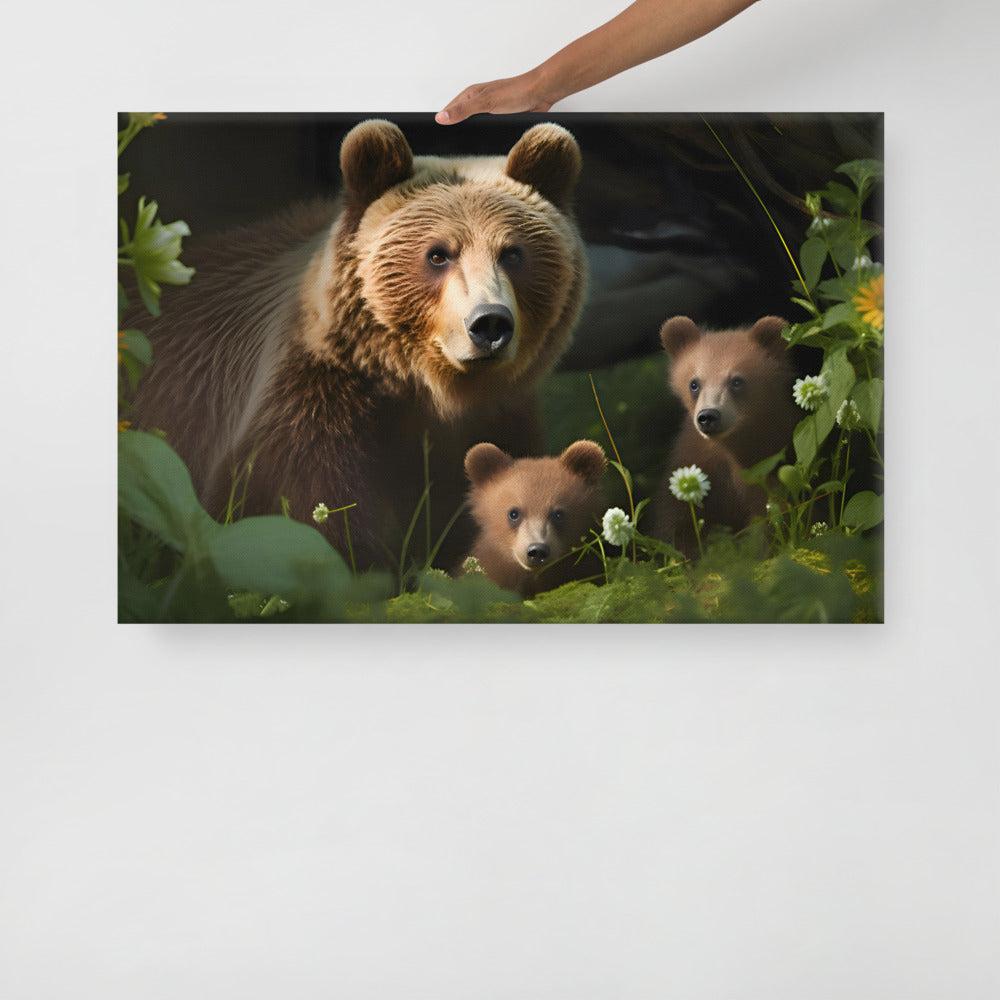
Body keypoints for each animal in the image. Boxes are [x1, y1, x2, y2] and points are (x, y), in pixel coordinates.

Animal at [131, 119, 586, 571]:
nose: (489, 322)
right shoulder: (312, 409)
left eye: (512, 253)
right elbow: (299, 511)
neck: (424, 391)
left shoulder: (498, 421)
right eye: (438, 254)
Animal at [651, 315, 801, 554]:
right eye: (694, 383)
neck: (730, 448)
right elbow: (678, 523)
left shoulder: (769, 461)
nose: (708, 416)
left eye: (737, 381)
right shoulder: (696, 461)